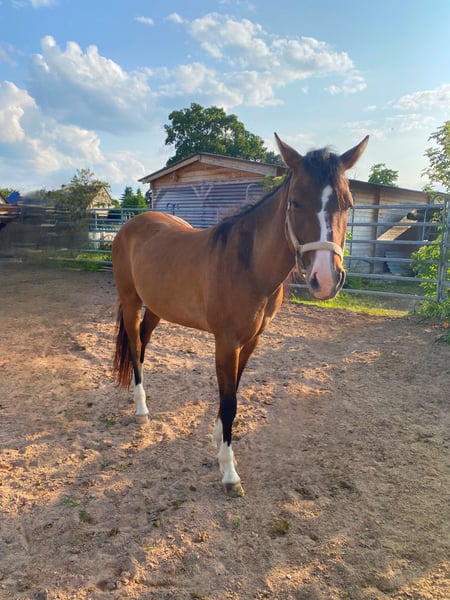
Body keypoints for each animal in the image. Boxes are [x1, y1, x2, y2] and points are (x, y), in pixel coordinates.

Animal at [112, 133, 369, 495]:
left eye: (347, 204)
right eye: (295, 202)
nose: (326, 279)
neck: (248, 265)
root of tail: (130, 226)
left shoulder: (251, 341)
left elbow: (232, 391)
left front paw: (218, 443)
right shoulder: (226, 342)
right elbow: (230, 400)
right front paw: (230, 473)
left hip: (158, 308)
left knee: (144, 345)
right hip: (131, 301)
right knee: (135, 349)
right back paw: (141, 410)